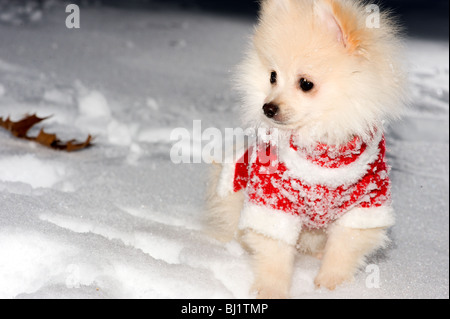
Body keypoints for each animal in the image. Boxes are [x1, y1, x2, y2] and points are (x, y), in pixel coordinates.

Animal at [206, 0, 406, 300]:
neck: (322, 150)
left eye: (306, 84)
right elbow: (275, 252)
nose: (268, 107)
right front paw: (270, 291)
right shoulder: (272, 199)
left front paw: (332, 287)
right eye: (273, 76)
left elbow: (343, 249)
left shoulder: (367, 200)